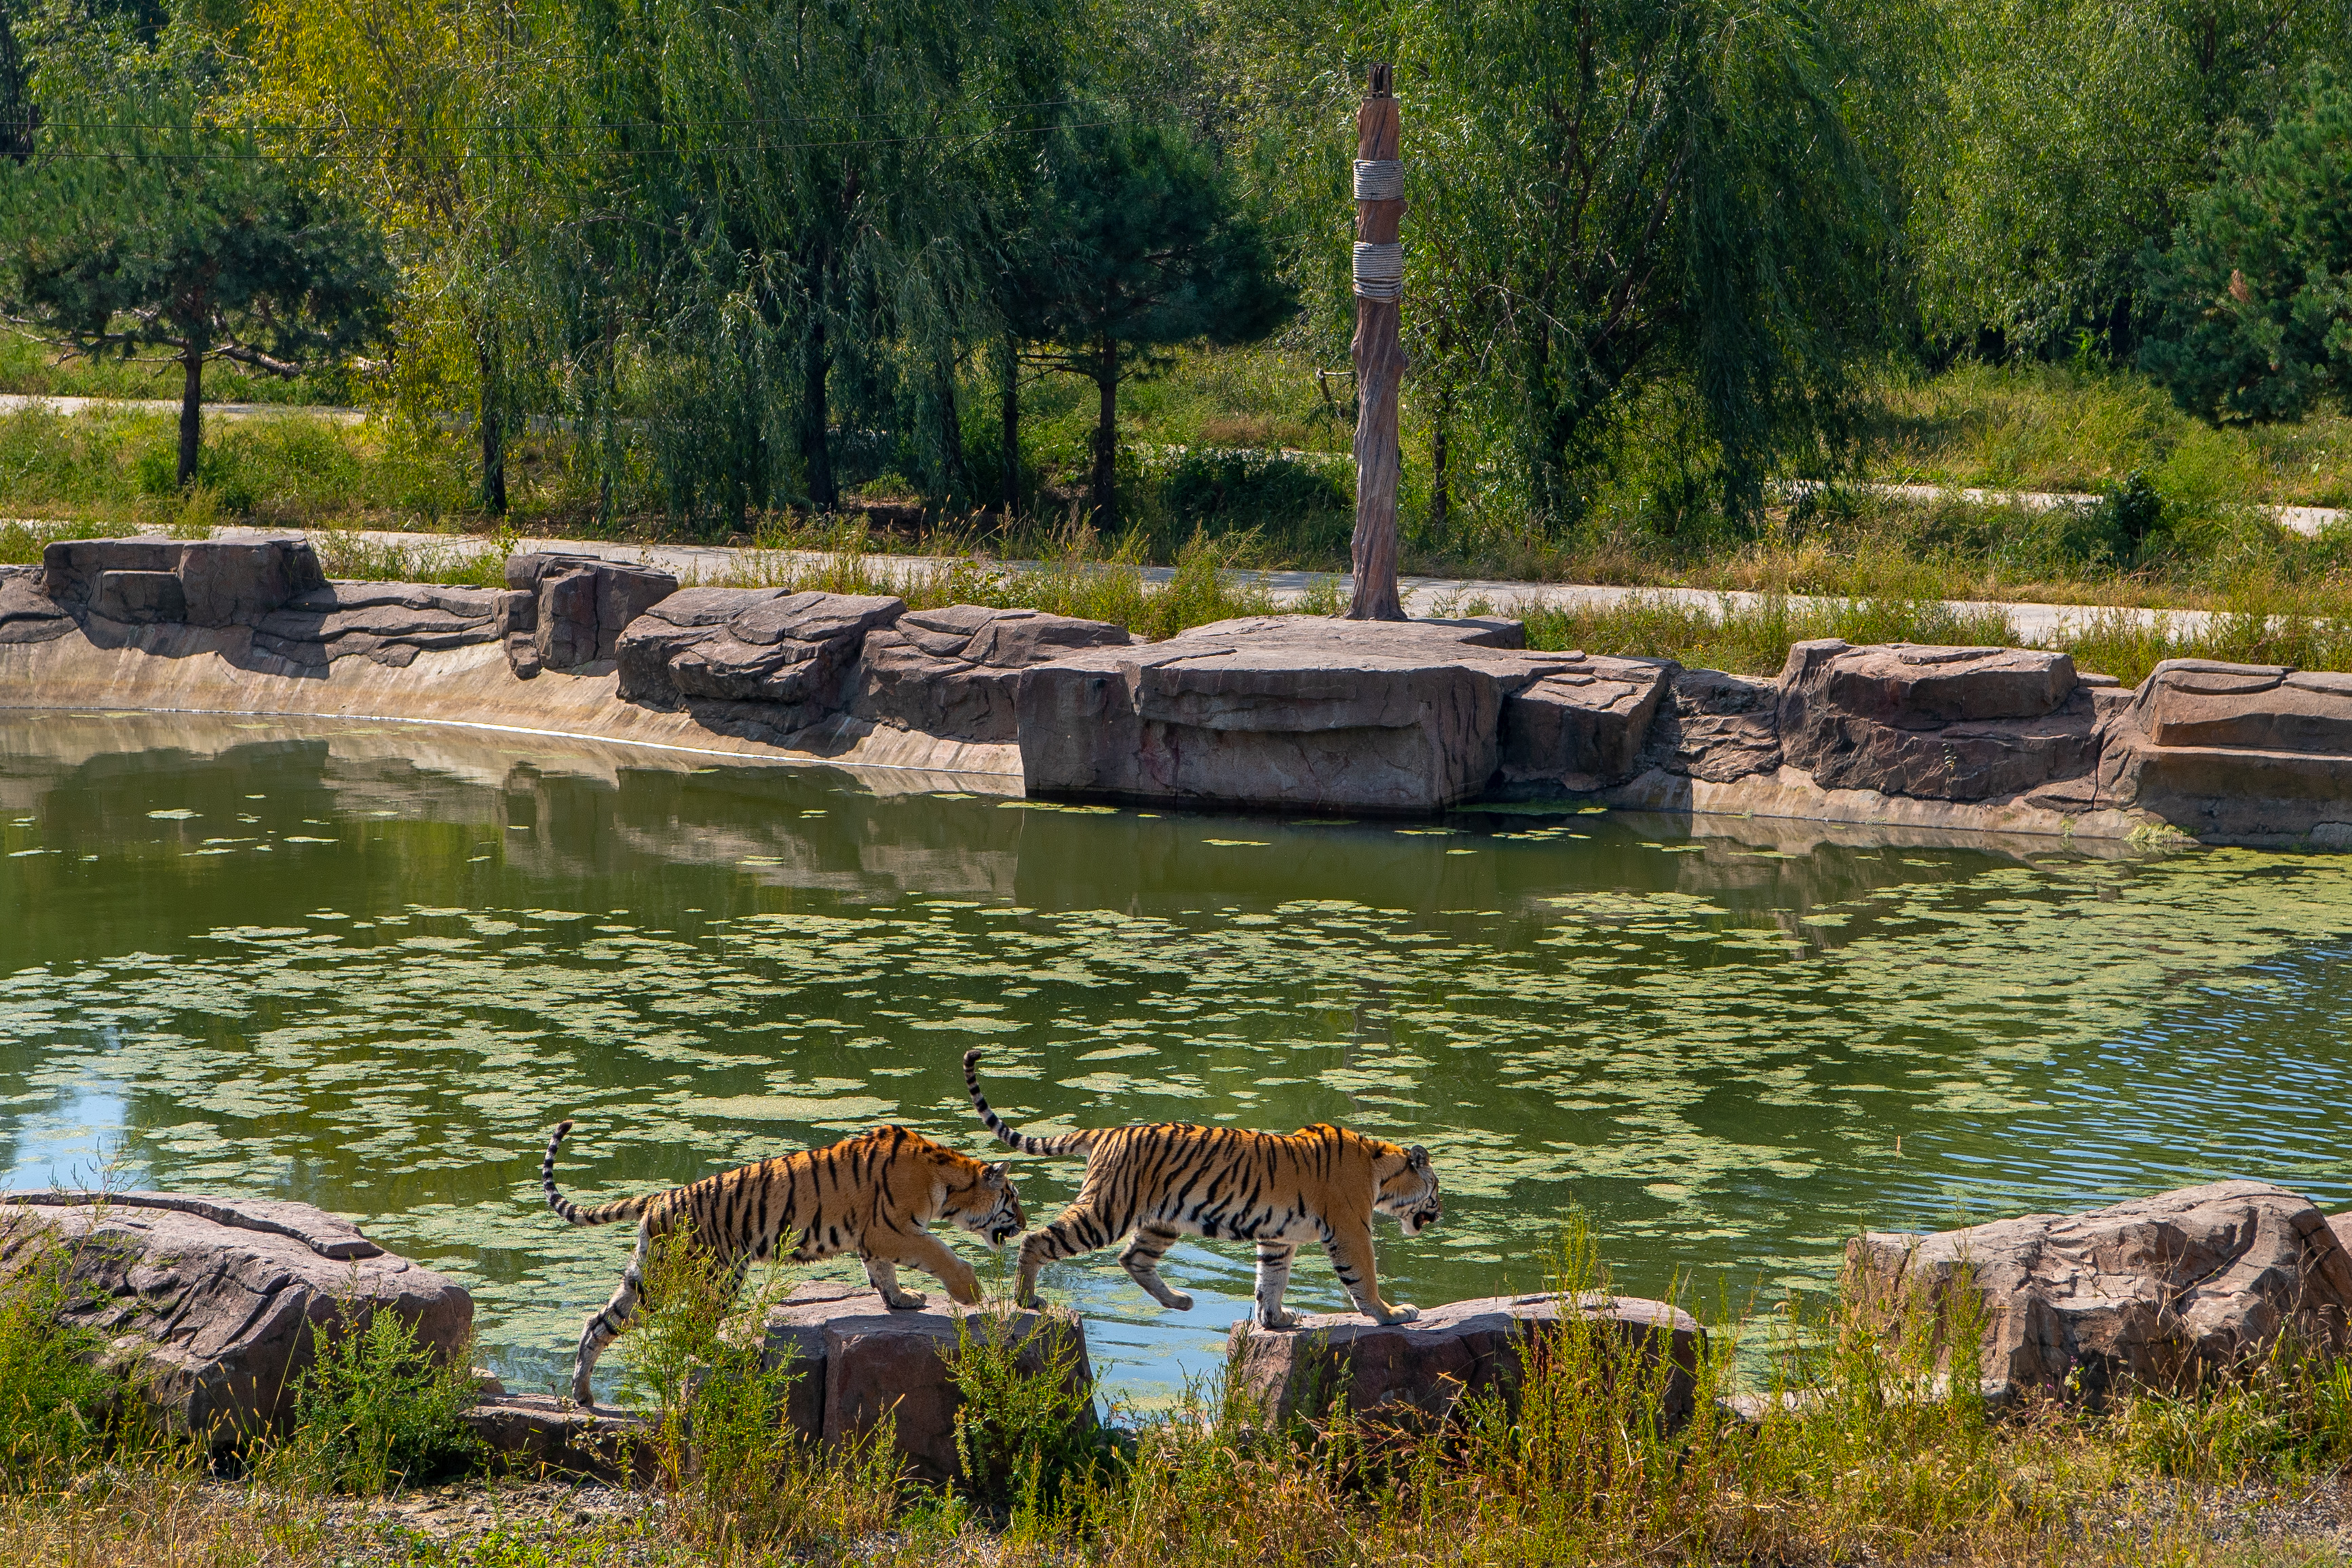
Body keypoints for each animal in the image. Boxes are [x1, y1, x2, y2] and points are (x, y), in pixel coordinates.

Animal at [554, 1124, 1035, 1401]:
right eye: (1012, 1199)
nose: (1027, 1223)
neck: (948, 1183)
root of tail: (657, 1198)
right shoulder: (893, 1228)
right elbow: (939, 1253)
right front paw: (970, 1291)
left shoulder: (876, 1238)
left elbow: (883, 1272)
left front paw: (901, 1300)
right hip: (715, 1271)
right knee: (691, 1326)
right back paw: (728, 1355)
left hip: (651, 1276)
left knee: (599, 1322)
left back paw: (582, 1393)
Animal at [960, 1048, 1439, 1335]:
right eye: (1435, 1190)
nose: (1438, 1214)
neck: (1381, 1169)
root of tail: (1108, 1131)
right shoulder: (1350, 1229)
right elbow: (1364, 1278)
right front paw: (1392, 1314)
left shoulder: (1278, 1237)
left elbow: (1270, 1280)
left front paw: (1276, 1319)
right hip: (1106, 1211)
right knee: (1037, 1240)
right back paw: (1026, 1299)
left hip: (1161, 1220)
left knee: (1133, 1258)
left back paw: (1180, 1301)